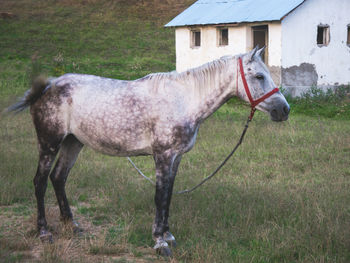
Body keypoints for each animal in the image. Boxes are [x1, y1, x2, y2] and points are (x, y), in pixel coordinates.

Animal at [7, 46, 290, 256]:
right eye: (259, 76)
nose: (284, 110)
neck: (184, 100)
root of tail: (47, 86)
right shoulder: (162, 156)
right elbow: (159, 196)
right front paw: (159, 242)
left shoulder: (176, 158)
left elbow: (169, 196)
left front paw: (168, 235)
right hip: (50, 143)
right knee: (41, 182)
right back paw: (45, 232)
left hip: (73, 142)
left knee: (59, 178)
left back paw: (73, 226)